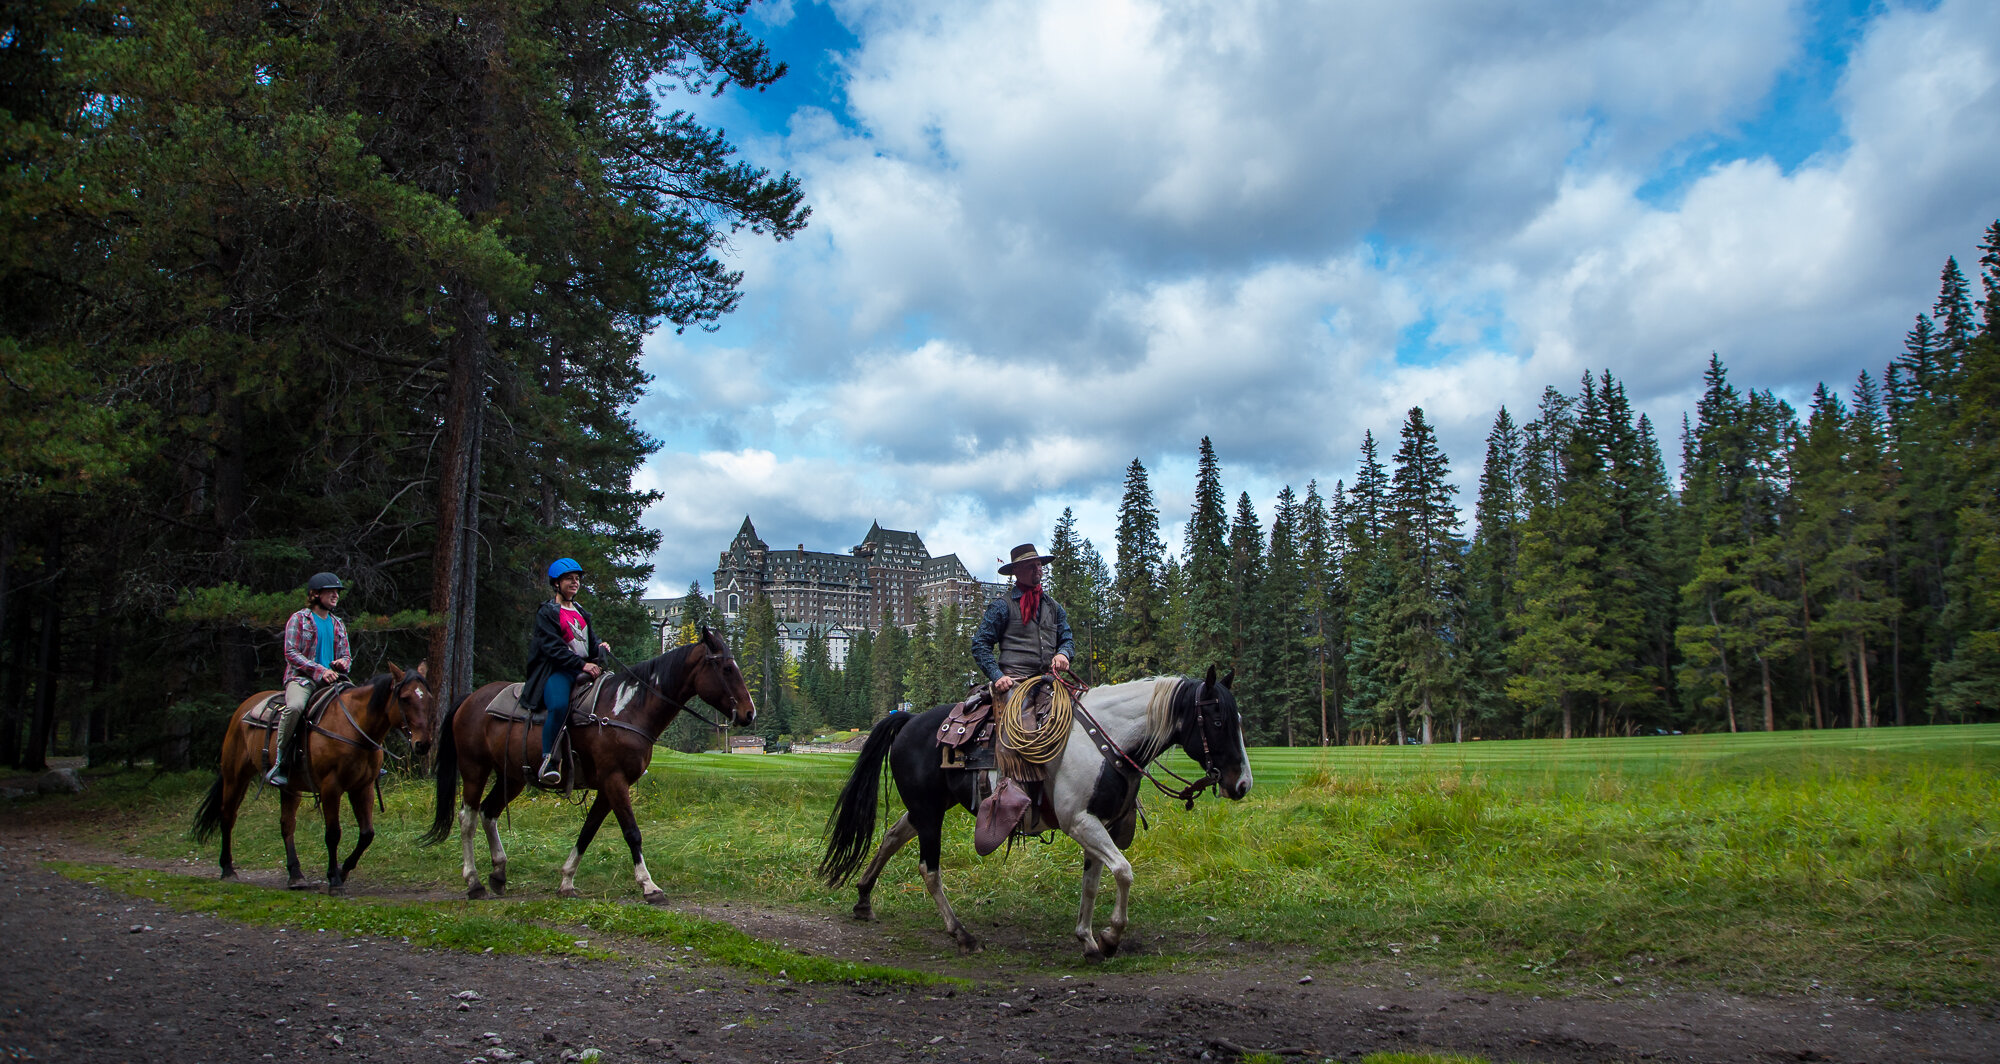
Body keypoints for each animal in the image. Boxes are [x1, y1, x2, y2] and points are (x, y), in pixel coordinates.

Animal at [190, 664, 438, 888]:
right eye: (404, 698)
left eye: (428, 698)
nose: (423, 744)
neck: (353, 728)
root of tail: (243, 708)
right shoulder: (331, 788)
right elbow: (333, 833)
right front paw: (334, 879)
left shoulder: (363, 787)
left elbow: (367, 833)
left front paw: (344, 870)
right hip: (235, 776)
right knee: (228, 816)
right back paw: (228, 869)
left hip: (291, 788)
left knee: (287, 824)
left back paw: (295, 874)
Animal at [422, 628, 756, 900]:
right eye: (727, 668)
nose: (749, 713)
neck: (626, 709)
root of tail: (469, 699)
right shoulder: (614, 780)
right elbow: (632, 832)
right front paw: (649, 885)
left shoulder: (609, 786)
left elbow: (588, 830)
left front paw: (567, 880)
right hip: (474, 768)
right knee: (468, 818)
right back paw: (474, 882)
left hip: (512, 775)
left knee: (489, 813)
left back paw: (499, 873)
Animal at [816, 672, 1248, 964]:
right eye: (1219, 721)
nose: (1242, 783)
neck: (1104, 740)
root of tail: (908, 721)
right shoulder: (1080, 822)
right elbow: (1124, 872)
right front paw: (1111, 936)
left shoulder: (1100, 825)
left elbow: (1093, 883)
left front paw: (1088, 940)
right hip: (929, 813)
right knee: (929, 869)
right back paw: (962, 934)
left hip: (928, 808)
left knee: (892, 835)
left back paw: (863, 899)